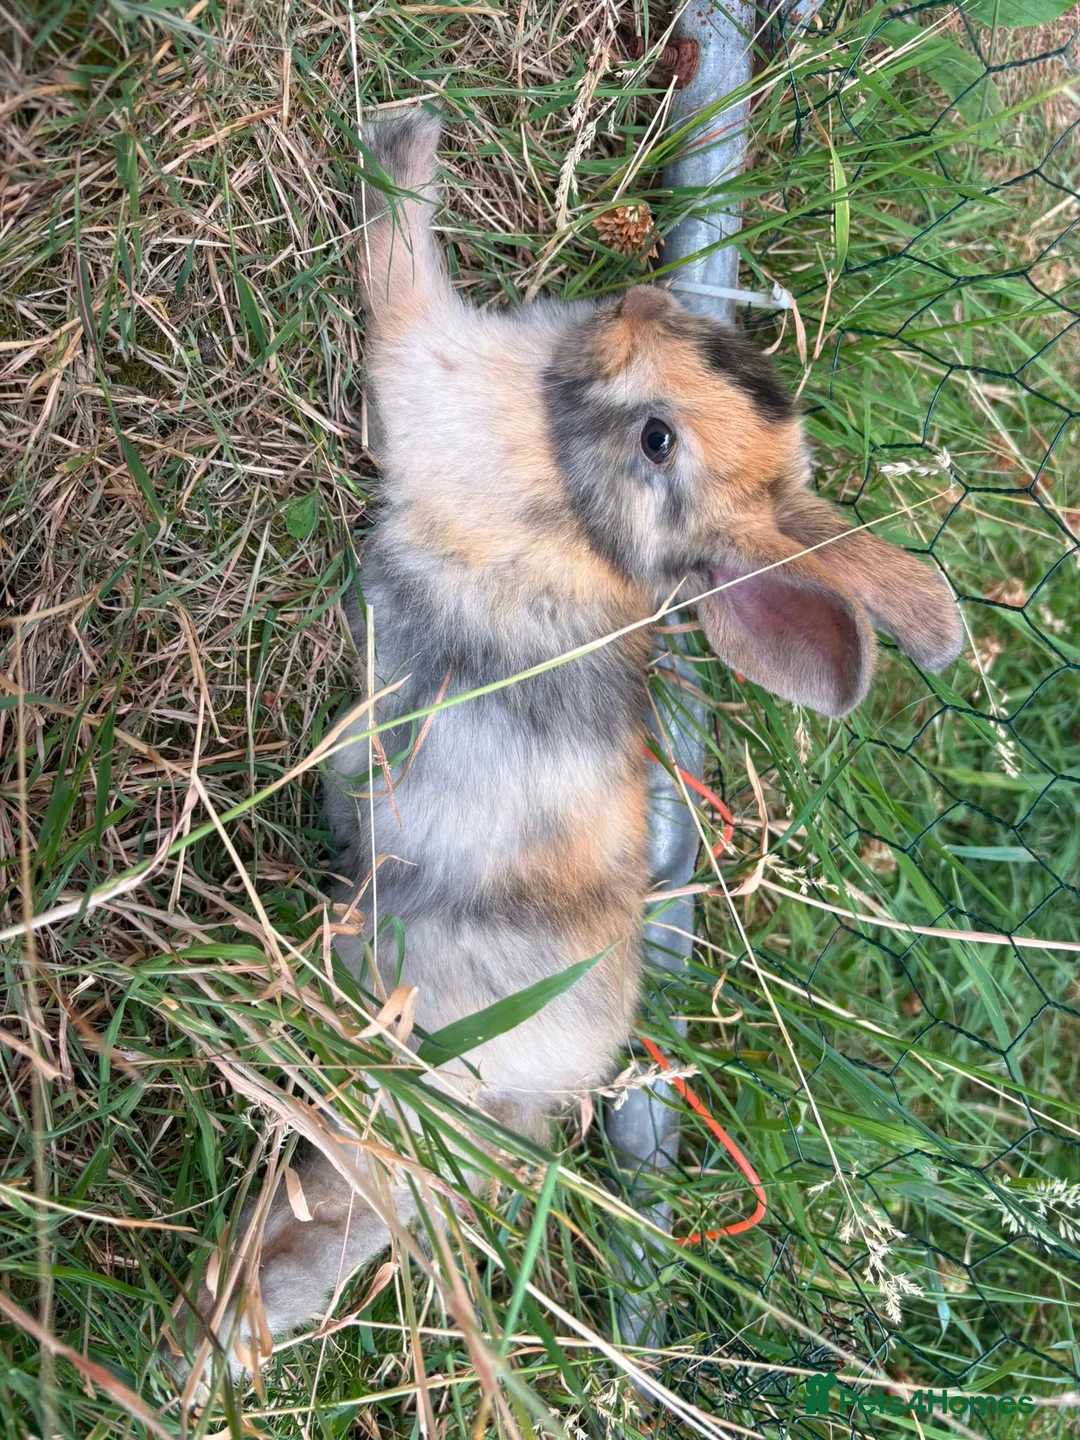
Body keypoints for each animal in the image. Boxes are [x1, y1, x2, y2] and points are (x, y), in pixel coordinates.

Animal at [170, 104, 962, 1383]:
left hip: (410, 1060)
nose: (634, 301)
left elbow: (397, 261)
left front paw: (401, 140)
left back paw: (200, 1345)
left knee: (342, 1193)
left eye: (658, 440)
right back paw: (211, 1356)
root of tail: (559, 1079)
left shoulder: (425, 360)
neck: (576, 492)